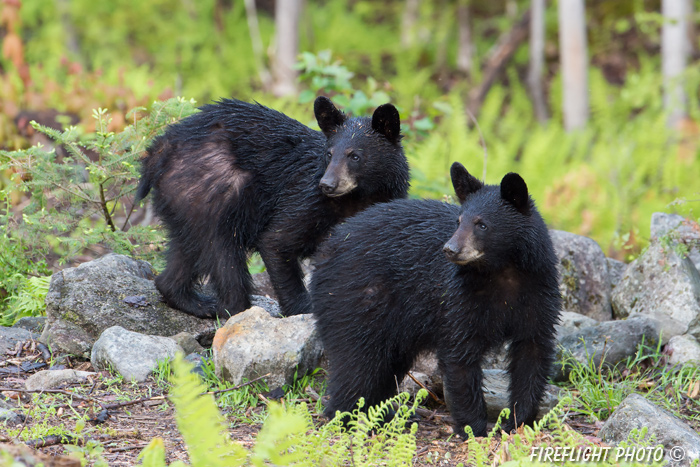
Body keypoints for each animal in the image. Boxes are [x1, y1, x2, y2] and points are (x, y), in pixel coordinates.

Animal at [137, 97, 410, 320]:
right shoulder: (305, 199)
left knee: (187, 248)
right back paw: (233, 308)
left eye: (355, 156)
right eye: (329, 154)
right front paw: (304, 309)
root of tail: (158, 149)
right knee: (223, 252)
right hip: (214, 187)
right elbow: (276, 241)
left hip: (184, 201)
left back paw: (191, 300)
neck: (358, 198)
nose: (327, 184)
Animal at [308, 163, 560, 436]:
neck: (503, 272)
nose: (450, 249)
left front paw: (517, 421)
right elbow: (460, 355)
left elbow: (532, 353)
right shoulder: (459, 297)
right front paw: (474, 429)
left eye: (481, 224)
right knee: (355, 364)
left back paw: (384, 418)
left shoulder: (539, 293)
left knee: (384, 366)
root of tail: (324, 250)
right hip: (355, 300)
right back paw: (347, 419)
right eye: (459, 221)